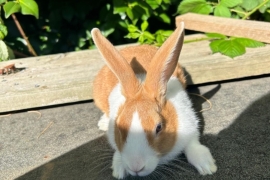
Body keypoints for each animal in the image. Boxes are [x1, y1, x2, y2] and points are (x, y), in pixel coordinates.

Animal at [91, 22, 217, 179]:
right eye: (119, 127)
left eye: (159, 127)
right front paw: (118, 171)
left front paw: (207, 167)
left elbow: (193, 145)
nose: (136, 167)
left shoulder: (190, 125)